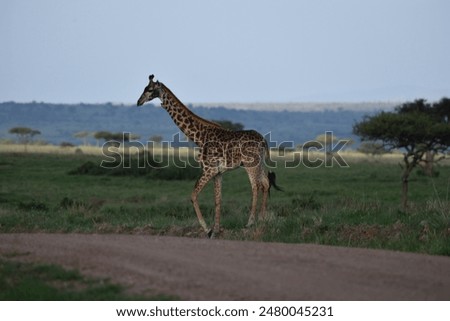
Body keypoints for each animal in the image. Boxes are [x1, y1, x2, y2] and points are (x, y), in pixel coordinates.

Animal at [137, 74, 280, 236]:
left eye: (149, 89)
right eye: (144, 88)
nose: (138, 102)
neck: (199, 137)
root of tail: (264, 141)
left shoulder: (208, 169)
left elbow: (193, 195)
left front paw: (207, 229)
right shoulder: (218, 172)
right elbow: (217, 199)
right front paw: (216, 229)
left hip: (251, 164)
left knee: (255, 186)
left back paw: (250, 222)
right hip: (259, 162)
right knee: (265, 183)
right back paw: (261, 219)